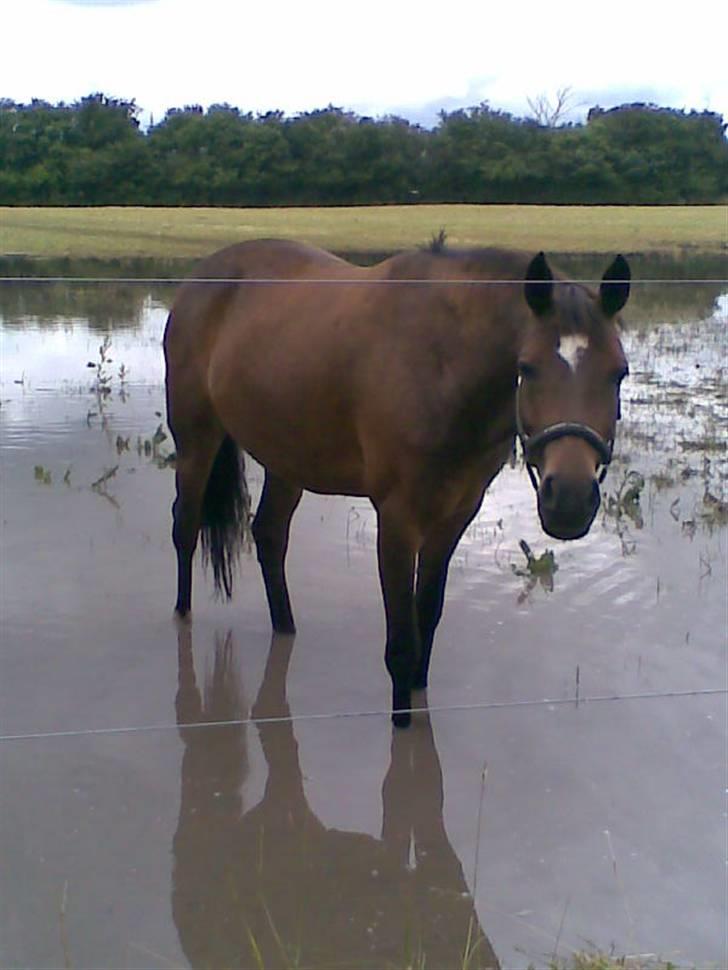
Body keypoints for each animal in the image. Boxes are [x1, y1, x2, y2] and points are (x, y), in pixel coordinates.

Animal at [162, 240, 628, 728]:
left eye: (619, 372)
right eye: (528, 367)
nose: (570, 499)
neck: (442, 363)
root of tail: (202, 275)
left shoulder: (456, 514)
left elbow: (427, 615)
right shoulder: (397, 518)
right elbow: (402, 640)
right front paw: (402, 724)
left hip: (287, 460)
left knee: (269, 536)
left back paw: (285, 627)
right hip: (197, 440)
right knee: (185, 528)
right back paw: (182, 615)